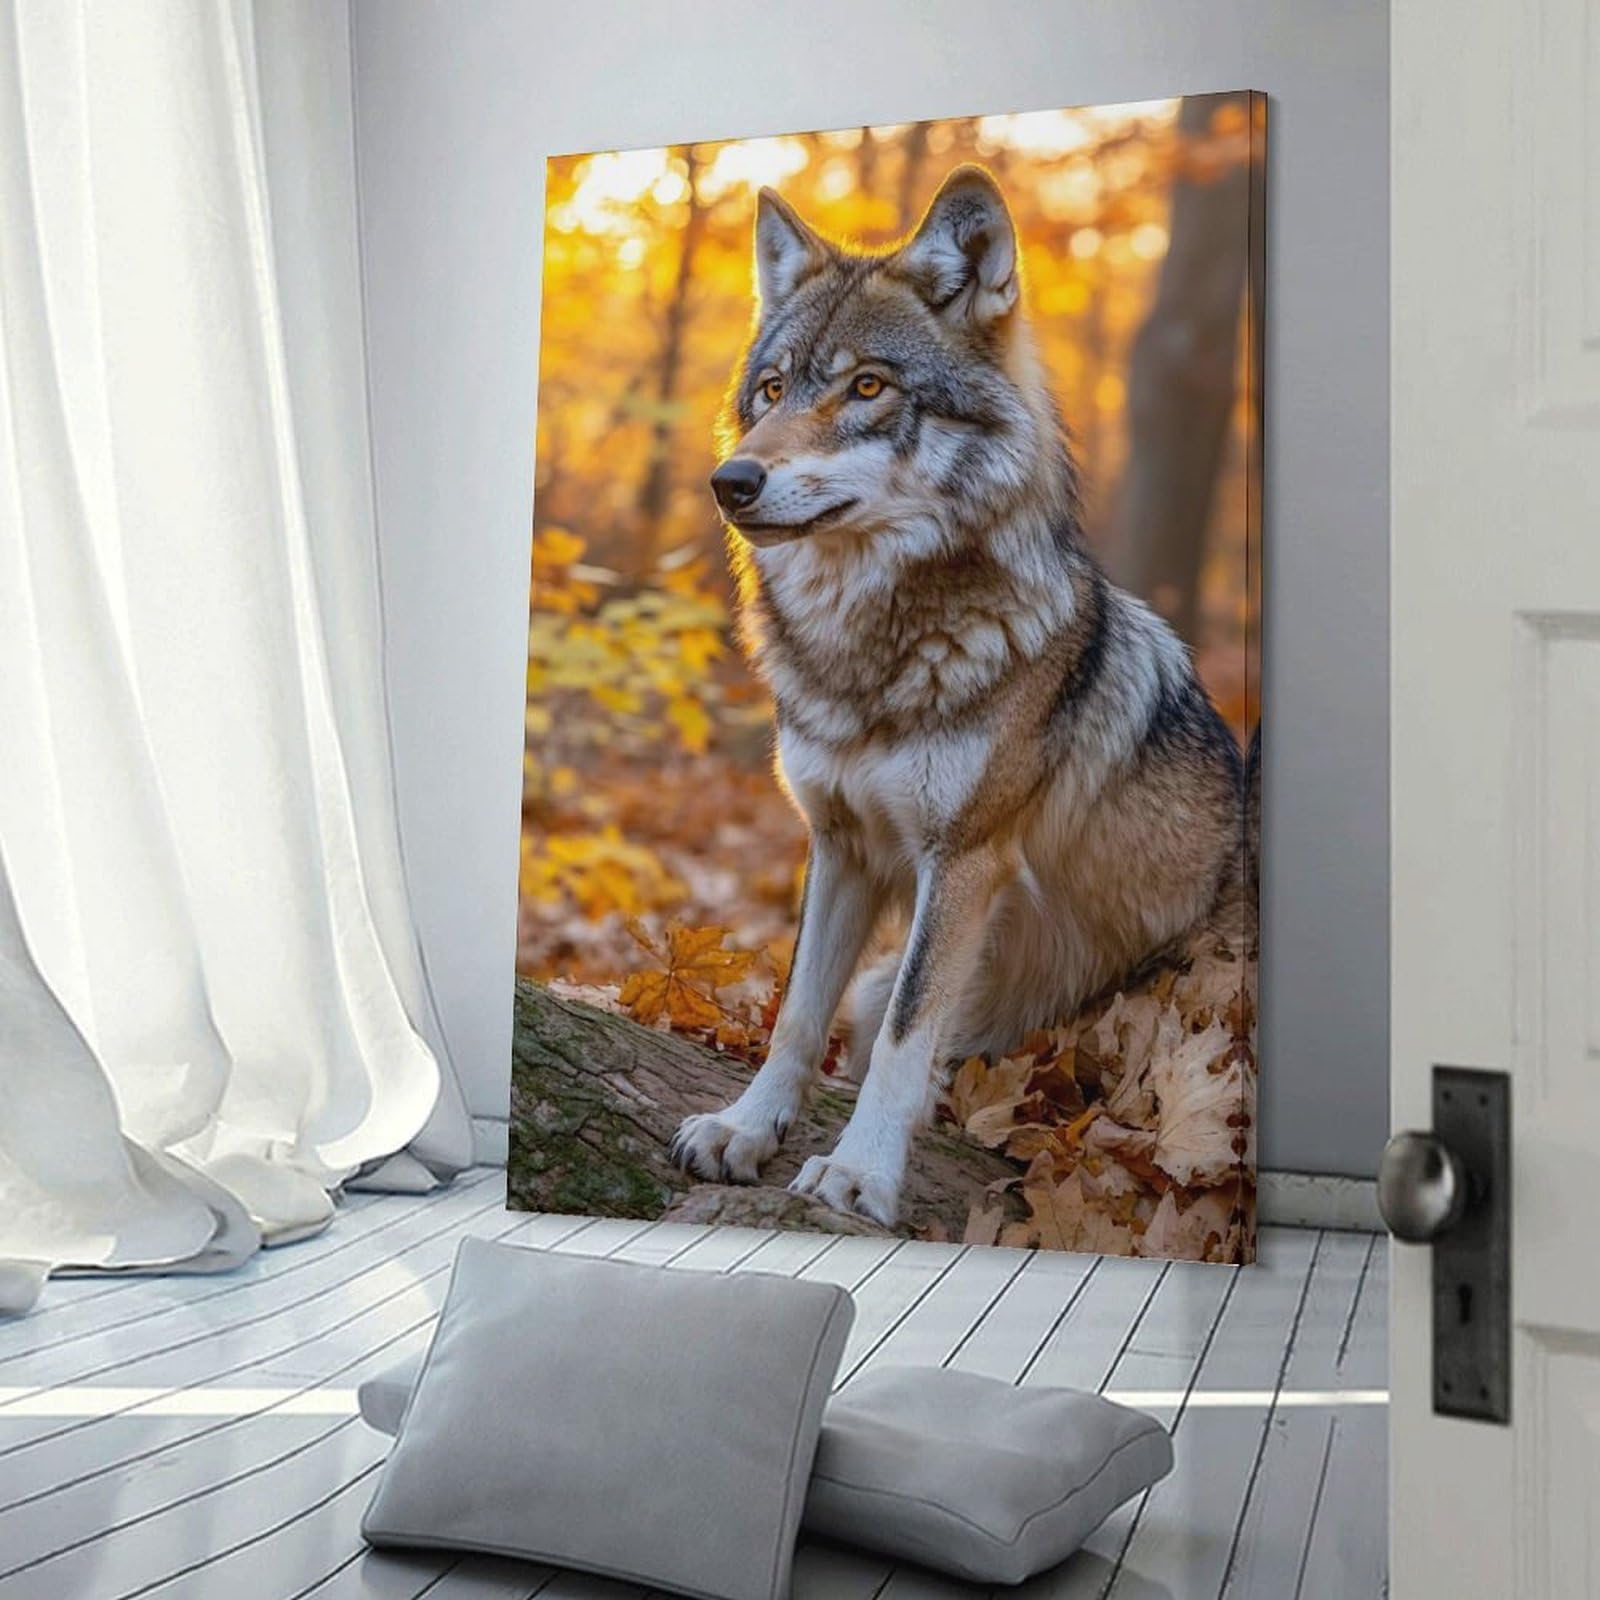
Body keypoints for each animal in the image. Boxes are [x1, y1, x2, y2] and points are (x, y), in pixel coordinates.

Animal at [670, 165, 1245, 1229]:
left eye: (867, 386)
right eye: (771, 390)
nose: (730, 480)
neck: (871, 659)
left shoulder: (966, 859)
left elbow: (907, 1033)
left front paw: (859, 1173)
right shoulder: (839, 844)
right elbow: (796, 1011)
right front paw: (745, 1127)